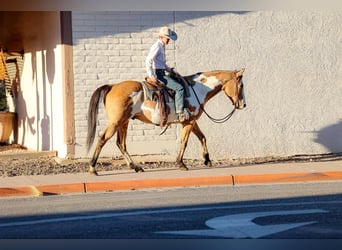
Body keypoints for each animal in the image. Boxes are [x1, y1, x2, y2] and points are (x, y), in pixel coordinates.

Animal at [85, 67, 246, 175]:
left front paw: (207, 160)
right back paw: (93, 168)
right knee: (102, 139)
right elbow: (184, 142)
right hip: (115, 122)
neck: (199, 89)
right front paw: (181, 163)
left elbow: (202, 137)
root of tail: (112, 86)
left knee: (121, 144)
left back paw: (136, 167)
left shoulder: (191, 121)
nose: (243, 104)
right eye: (241, 85)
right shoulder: (188, 122)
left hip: (124, 122)